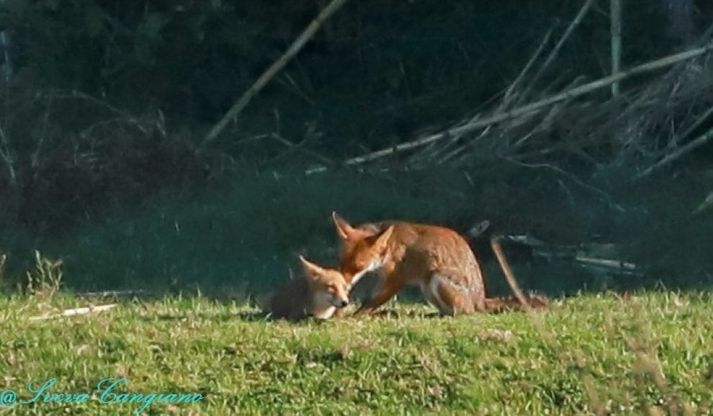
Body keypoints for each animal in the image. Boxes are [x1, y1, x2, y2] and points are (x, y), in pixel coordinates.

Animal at [331, 212, 547, 316]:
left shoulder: (396, 279)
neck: (390, 247)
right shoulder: (384, 278)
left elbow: (370, 302)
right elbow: (370, 299)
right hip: (427, 288)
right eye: (341, 263)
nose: (344, 285)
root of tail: (481, 298)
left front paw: (353, 316)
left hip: (436, 278)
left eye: (358, 266)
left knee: (464, 313)